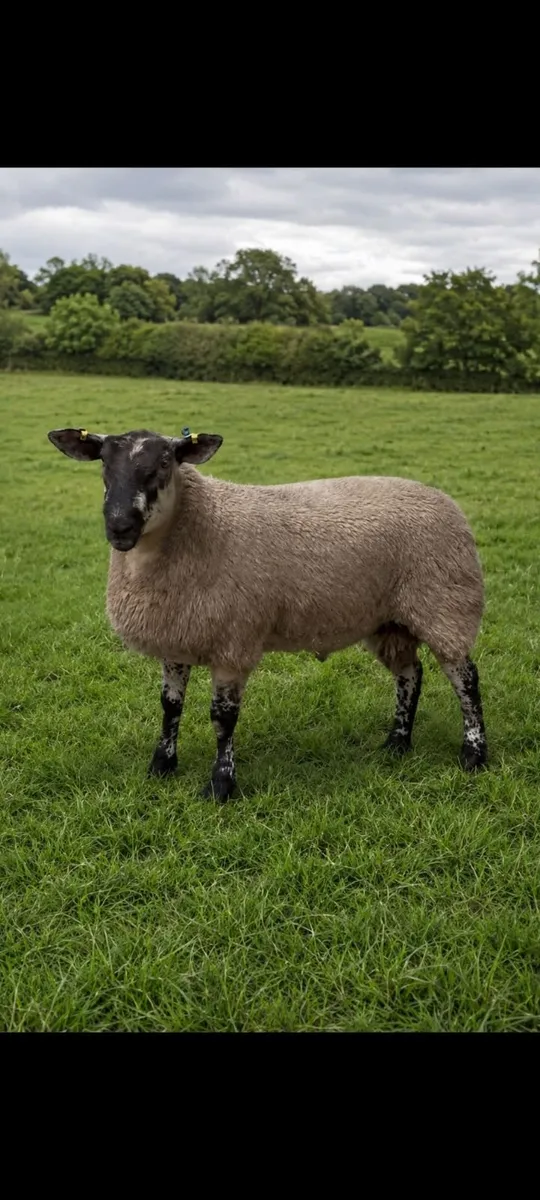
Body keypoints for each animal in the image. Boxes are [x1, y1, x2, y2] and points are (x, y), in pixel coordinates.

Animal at [47, 425, 488, 801]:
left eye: (165, 462)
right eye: (103, 462)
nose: (119, 526)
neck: (202, 524)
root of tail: (442, 497)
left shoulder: (233, 640)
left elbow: (222, 718)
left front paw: (221, 785)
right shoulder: (177, 637)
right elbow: (170, 706)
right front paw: (161, 766)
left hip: (444, 604)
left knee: (465, 679)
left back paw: (474, 754)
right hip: (390, 620)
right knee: (410, 675)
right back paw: (397, 743)